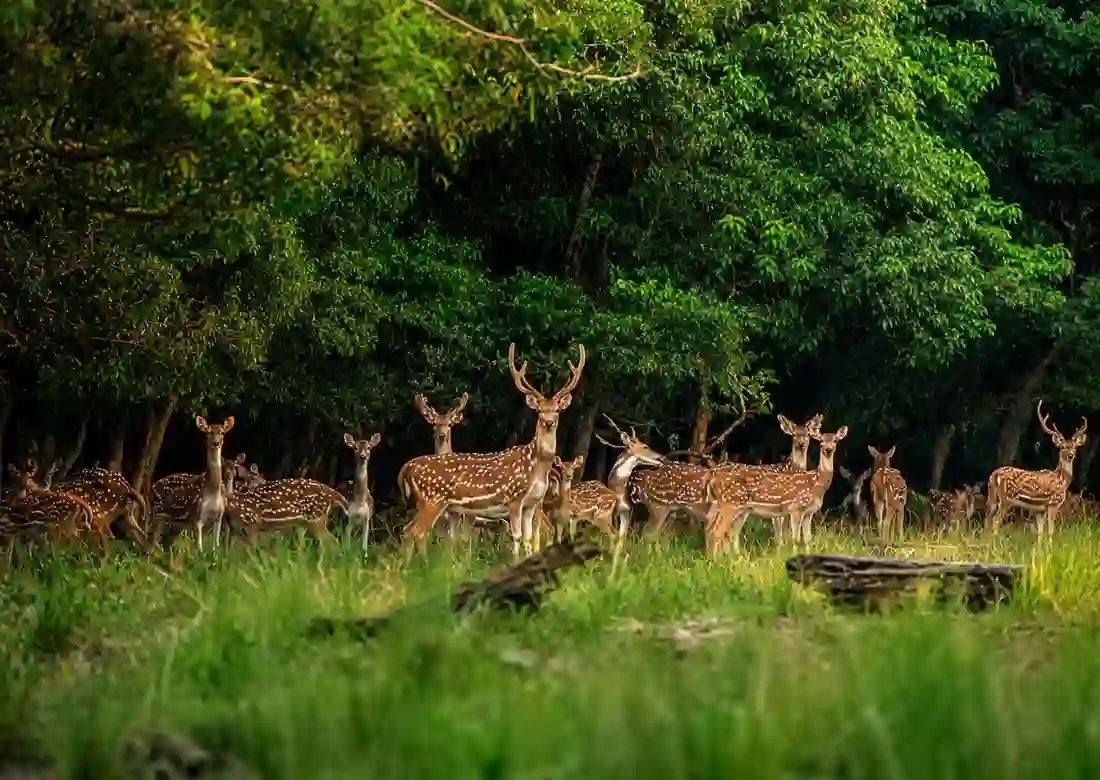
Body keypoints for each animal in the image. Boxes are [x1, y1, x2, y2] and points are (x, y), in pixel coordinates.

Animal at [398, 342, 585, 559]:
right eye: (539, 410)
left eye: (557, 409)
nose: (548, 422)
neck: (536, 466)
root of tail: (407, 467)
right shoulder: (513, 498)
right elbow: (516, 537)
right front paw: (514, 561)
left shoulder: (530, 504)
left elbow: (528, 538)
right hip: (433, 499)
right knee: (417, 533)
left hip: (428, 503)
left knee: (408, 531)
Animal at [705, 426, 847, 555]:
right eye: (821, 441)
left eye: (835, 440)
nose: (828, 449)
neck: (816, 484)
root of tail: (713, 479)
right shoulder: (795, 507)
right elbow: (795, 539)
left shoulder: (809, 512)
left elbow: (808, 540)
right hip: (731, 503)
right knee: (717, 531)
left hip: (732, 507)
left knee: (716, 530)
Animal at [985, 401, 1087, 537]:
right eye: (1063, 447)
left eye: (1075, 447)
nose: (1070, 455)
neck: (1062, 480)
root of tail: (995, 475)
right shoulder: (1053, 503)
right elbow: (1050, 531)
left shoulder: (1040, 510)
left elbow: (1040, 532)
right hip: (1006, 498)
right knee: (996, 520)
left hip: (992, 495)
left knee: (987, 518)